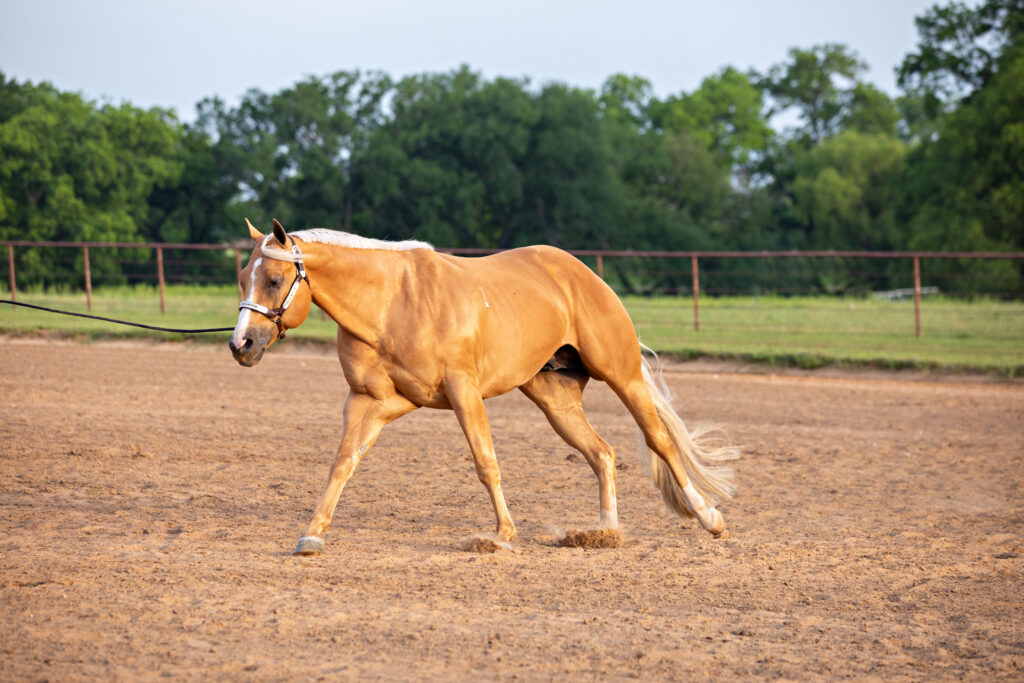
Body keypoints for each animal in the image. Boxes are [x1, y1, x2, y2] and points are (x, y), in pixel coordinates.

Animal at [229, 218, 738, 556]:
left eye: (273, 279)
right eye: (241, 278)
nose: (241, 344)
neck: (392, 303)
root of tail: (581, 273)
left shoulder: (463, 391)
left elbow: (485, 462)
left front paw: (501, 535)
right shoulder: (372, 402)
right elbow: (343, 463)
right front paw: (312, 533)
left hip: (623, 374)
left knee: (659, 440)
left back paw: (708, 516)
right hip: (553, 398)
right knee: (601, 452)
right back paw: (603, 532)